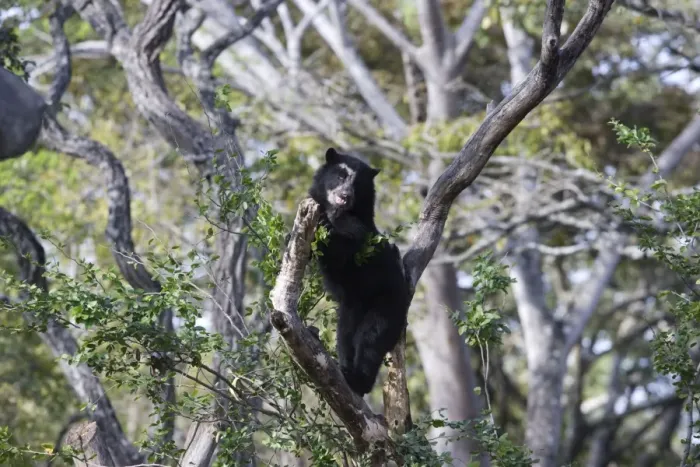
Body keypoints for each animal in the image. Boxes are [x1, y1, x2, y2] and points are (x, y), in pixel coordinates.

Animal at [308, 147, 410, 396]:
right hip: (349, 311)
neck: (338, 210)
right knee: (345, 339)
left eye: (358, 184)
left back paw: (357, 381)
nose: (345, 195)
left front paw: (325, 227)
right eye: (340, 176)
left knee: (370, 340)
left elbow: (347, 246)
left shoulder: (359, 231)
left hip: (386, 306)